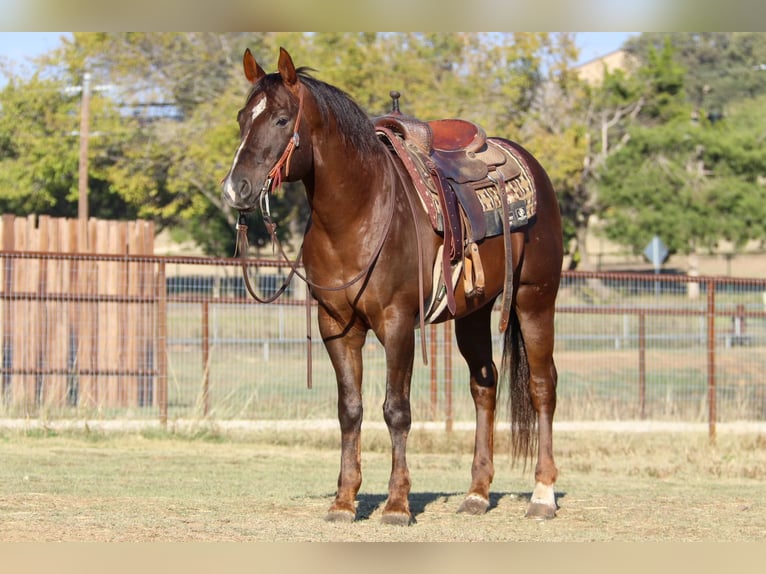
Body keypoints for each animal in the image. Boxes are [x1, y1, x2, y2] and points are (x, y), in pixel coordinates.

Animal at [222, 48, 564, 528]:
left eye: (281, 119)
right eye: (241, 117)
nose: (236, 188)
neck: (359, 211)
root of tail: (529, 164)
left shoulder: (398, 323)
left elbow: (396, 410)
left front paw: (398, 504)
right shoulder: (337, 327)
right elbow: (350, 410)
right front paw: (344, 501)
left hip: (536, 299)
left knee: (542, 386)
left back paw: (542, 494)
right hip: (474, 313)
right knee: (484, 386)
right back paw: (477, 493)